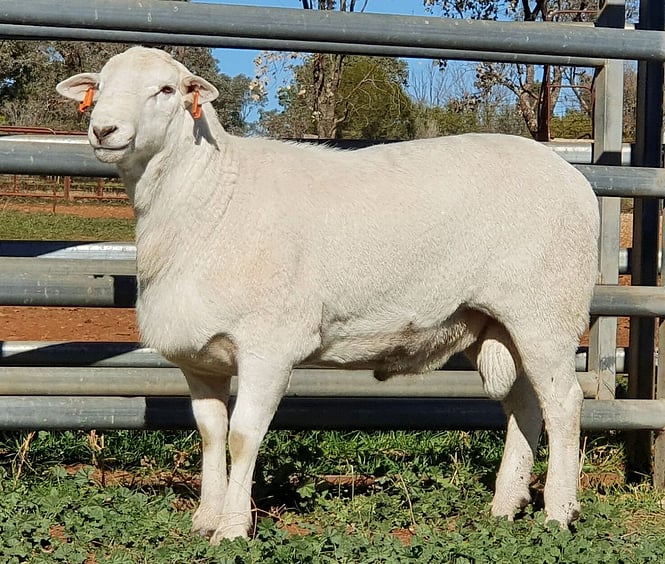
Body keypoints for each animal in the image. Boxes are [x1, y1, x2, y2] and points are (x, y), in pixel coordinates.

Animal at [57, 46, 599, 543]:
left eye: (167, 90)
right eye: (99, 86)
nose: (103, 130)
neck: (211, 195)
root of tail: (573, 177)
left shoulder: (268, 346)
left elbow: (242, 437)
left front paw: (232, 530)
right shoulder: (200, 359)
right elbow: (211, 435)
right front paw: (206, 519)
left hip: (546, 311)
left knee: (564, 403)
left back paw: (560, 512)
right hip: (500, 321)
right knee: (526, 403)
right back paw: (507, 506)